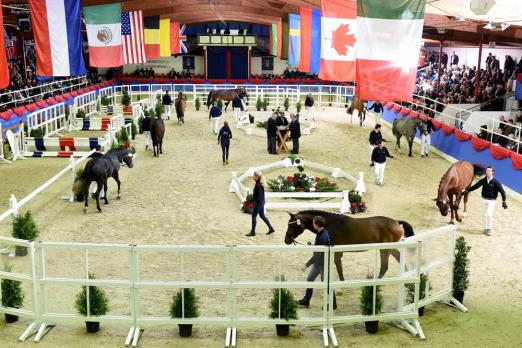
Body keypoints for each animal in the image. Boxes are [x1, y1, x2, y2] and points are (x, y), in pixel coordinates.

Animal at [282, 209, 412, 280]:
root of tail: (396, 222)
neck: (330, 225)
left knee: (385, 266)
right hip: (389, 248)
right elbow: (338, 268)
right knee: (399, 257)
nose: (286, 240)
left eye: (291, 225)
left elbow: (338, 268)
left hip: (385, 249)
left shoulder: (335, 252)